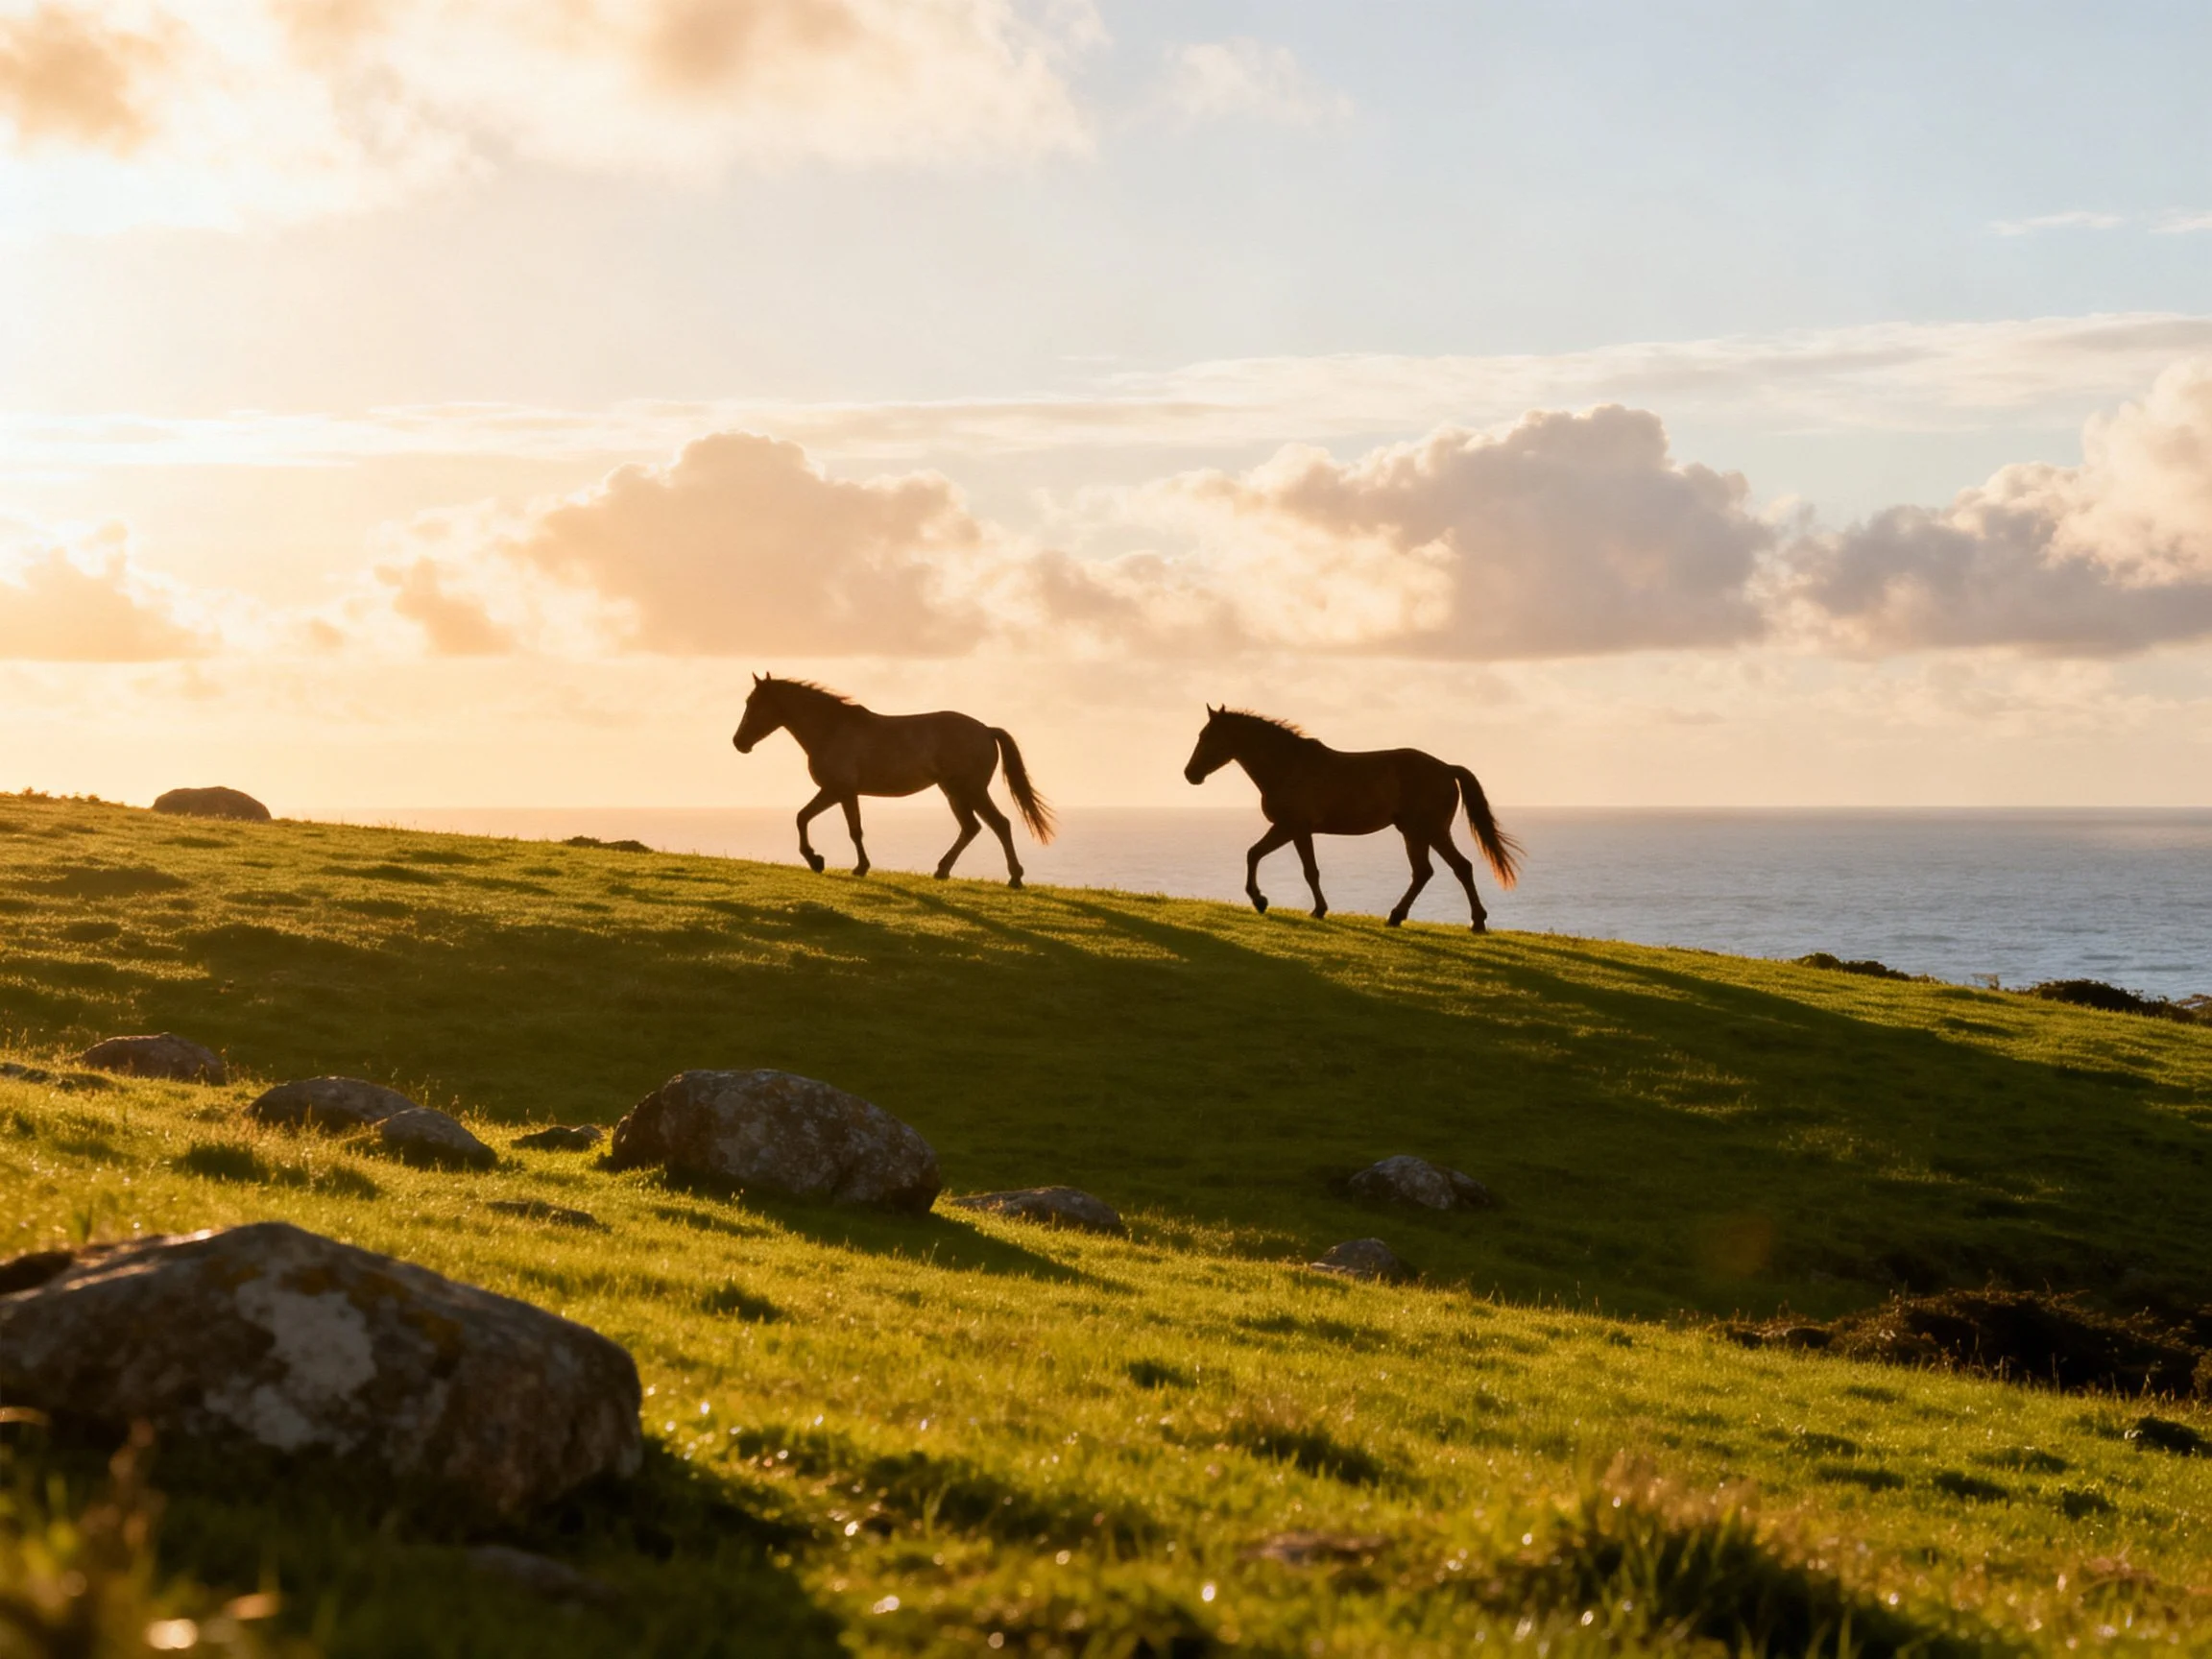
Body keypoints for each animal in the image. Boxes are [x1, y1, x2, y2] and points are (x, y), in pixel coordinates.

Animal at [732, 674, 1054, 886]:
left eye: (754, 703)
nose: (739, 742)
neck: (832, 729)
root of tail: (986, 730)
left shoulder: (839, 791)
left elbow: (839, 827)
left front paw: (834, 863)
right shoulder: (841, 792)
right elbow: (818, 821)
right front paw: (829, 862)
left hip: (971, 790)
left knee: (999, 824)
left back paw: (1014, 877)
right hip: (953, 792)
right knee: (971, 828)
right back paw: (942, 871)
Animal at [1182, 706, 1521, 931]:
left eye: (1209, 737)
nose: (1190, 774)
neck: (1289, 765)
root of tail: (1447, 768)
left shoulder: (1294, 827)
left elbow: (1301, 868)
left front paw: (1277, 903)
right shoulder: (1291, 829)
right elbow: (1262, 856)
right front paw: (1268, 901)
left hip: (1430, 830)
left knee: (1458, 868)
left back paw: (1476, 922)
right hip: (1415, 833)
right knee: (1426, 872)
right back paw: (1397, 917)